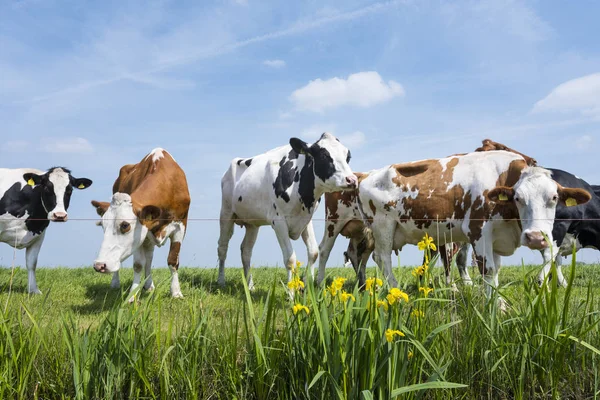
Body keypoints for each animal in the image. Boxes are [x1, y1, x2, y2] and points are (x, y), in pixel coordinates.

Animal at [91, 149, 190, 300]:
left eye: (125, 225)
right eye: (103, 225)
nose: (99, 265)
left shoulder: (180, 225)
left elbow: (173, 261)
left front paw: (176, 292)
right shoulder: (142, 234)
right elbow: (138, 265)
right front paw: (132, 295)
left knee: (149, 258)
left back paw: (149, 285)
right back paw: (116, 283)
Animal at [218, 133, 356, 290]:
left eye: (348, 156)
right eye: (324, 155)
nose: (352, 180)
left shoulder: (306, 219)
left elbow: (313, 252)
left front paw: (307, 286)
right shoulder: (278, 221)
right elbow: (290, 259)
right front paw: (291, 292)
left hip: (252, 224)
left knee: (246, 250)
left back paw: (250, 286)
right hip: (226, 213)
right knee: (222, 247)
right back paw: (221, 281)